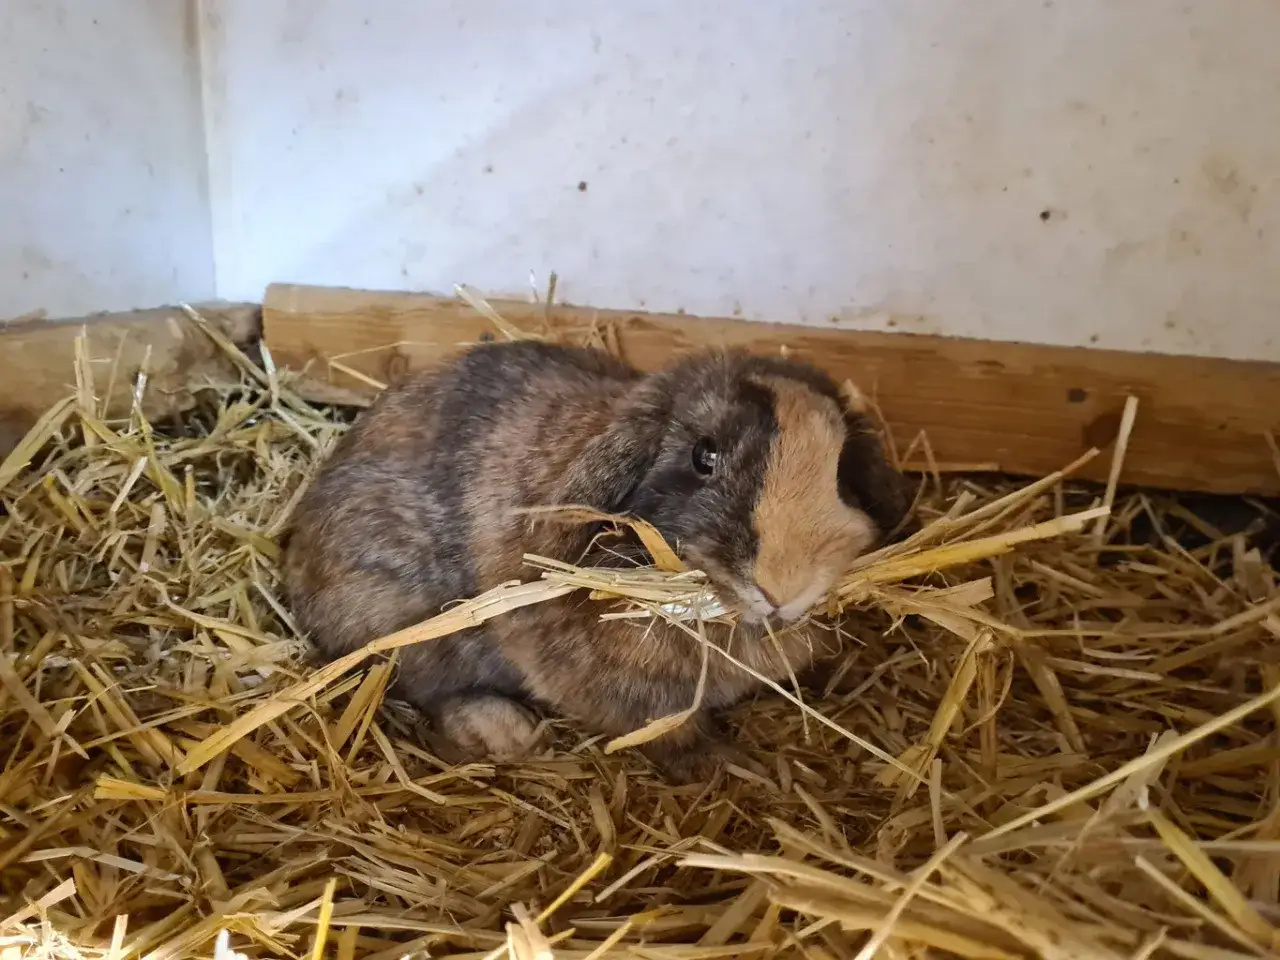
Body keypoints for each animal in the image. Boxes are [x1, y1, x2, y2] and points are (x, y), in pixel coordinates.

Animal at [282, 340, 917, 782]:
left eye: (840, 469)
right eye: (703, 457)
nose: (784, 587)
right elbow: (668, 729)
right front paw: (722, 764)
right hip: (396, 613)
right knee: (422, 685)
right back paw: (506, 732)